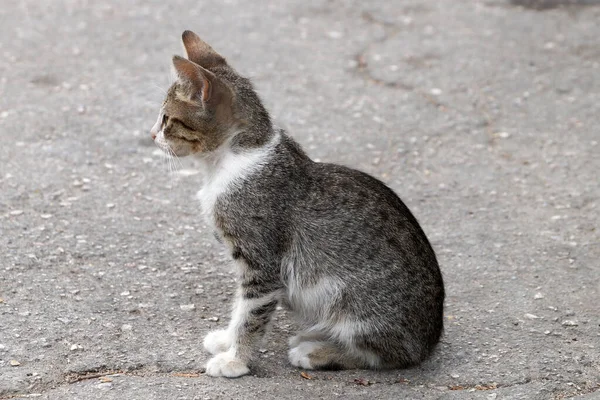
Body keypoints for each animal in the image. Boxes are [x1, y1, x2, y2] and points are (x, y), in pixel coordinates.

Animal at [151, 29, 446, 376]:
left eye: (167, 119)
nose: (151, 134)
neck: (229, 161)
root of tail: (429, 341)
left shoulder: (262, 263)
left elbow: (251, 315)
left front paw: (236, 360)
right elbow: (240, 307)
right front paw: (227, 340)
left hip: (351, 302)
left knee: (384, 355)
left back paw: (317, 351)